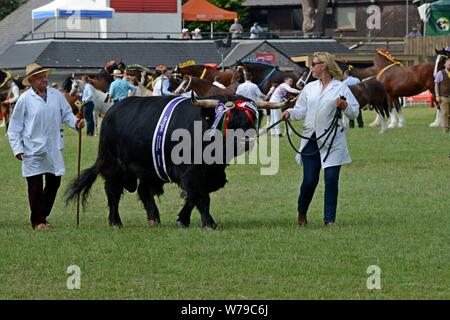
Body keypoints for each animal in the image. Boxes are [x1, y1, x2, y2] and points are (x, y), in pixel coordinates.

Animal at [65, 94, 284, 229]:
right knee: (113, 192)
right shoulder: (190, 171)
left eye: (250, 120)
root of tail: (112, 111)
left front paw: (182, 220)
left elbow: (193, 197)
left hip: (149, 170)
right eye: (230, 121)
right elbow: (201, 197)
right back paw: (115, 222)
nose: (246, 141)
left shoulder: (211, 175)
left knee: (144, 191)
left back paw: (153, 218)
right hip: (113, 165)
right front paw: (209, 223)